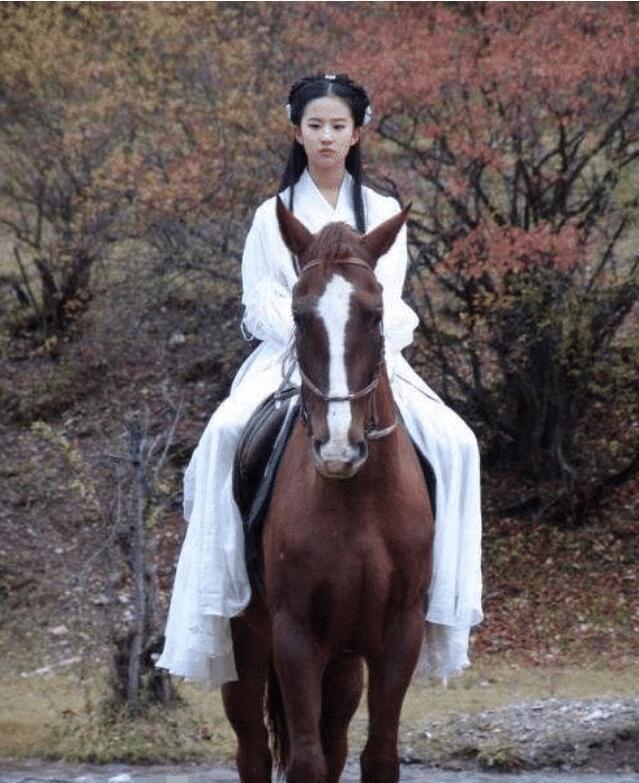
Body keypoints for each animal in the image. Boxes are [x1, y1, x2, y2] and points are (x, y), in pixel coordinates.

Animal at [222, 197, 434, 783]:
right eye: (299, 315)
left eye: (376, 314)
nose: (339, 448)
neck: (356, 503)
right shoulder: (295, 638)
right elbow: (306, 762)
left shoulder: (398, 636)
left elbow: (377, 757)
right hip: (246, 642)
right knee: (252, 750)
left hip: (343, 661)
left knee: (335, 740)